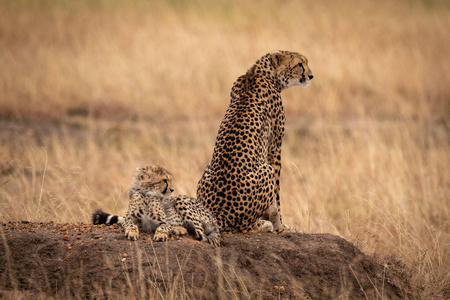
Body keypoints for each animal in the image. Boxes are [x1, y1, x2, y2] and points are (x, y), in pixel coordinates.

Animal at [197, 49, 312, 232]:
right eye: (300, 64)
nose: (311, 75)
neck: (259, 73)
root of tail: (219, 216)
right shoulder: (275, 148)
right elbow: (277, 197)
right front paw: (280, 225)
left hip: (207, 171)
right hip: (266, 170)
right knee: (247, 227)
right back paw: (264, 225)